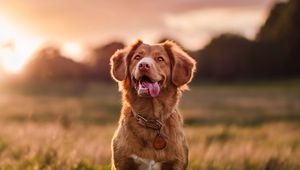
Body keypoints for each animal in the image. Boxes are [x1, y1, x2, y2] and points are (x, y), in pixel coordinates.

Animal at [109, 40, 196, 170]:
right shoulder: (122, 163)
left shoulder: (177, 163)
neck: (151, 118)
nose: (143, 65)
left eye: (160, 59)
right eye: (137, 57)